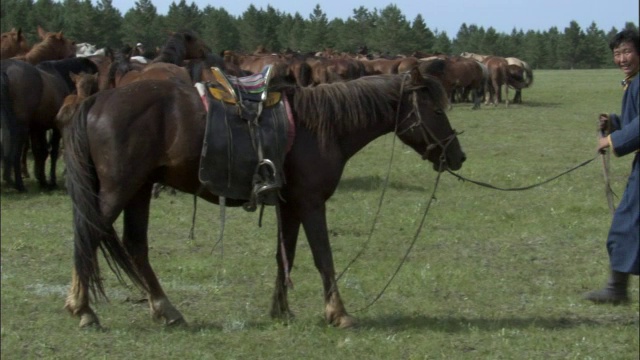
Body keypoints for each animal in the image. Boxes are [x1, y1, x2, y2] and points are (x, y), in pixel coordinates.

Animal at [0, 56, 98, 191]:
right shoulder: (55, 129)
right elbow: (53, 152)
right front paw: (51, 180)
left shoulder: (38, 128)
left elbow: (40, 151)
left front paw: (42, 179)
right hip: (21, 128)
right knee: (15, 153)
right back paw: (18, 183)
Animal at [62, 67, 468, 330]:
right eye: (436, 109)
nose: (458, 156)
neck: (323, 128)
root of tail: (99, 99)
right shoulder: (311, 203)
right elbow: (323, 257)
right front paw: (338, 313)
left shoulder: (289, 205)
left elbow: (284, 255)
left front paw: (281, 311)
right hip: (120, 188)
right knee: (88, 235)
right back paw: (83, 310)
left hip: (141, 188)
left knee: (135, 246)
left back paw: (166, 310)